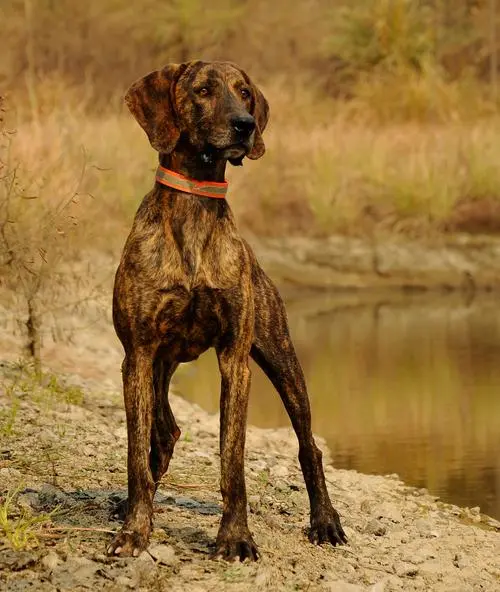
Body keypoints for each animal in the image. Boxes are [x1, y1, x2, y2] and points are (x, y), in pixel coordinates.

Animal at [108, 61, 346, 564]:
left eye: (245, 93)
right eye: (202, 90)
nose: (245, 125)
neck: (196, 203)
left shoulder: (235, 360)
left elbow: (232, 459)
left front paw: (235, 537)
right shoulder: (137, 356)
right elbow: (136, 454)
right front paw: (135, 529)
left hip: (283, 360)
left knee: (310, 448)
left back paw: (325, 521)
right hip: (158, 369)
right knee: (164, 432)